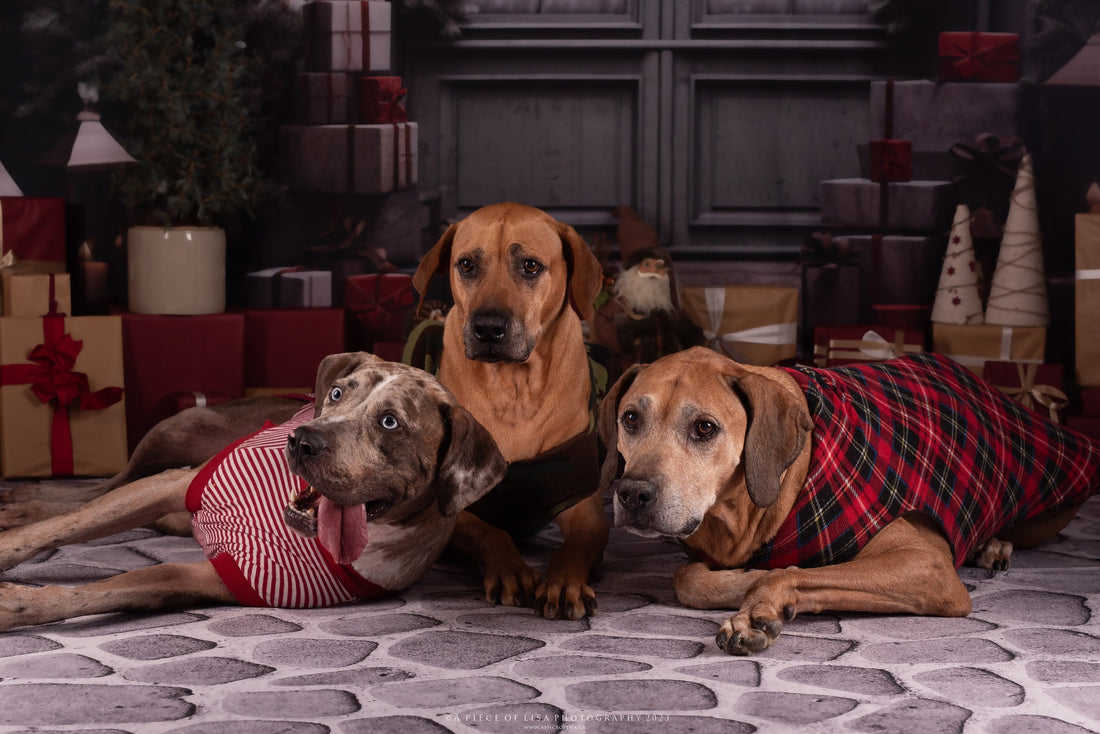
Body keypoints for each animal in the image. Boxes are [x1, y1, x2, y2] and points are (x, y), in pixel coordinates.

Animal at [413, 202, 607, 620]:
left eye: (531, 266)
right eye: (466, 265)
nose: (488, 328)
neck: (514, 386)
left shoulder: (583, 504)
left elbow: (576, 545)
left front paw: (564, 582)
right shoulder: (452, 510)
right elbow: (490, 532)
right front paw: (510, 570)